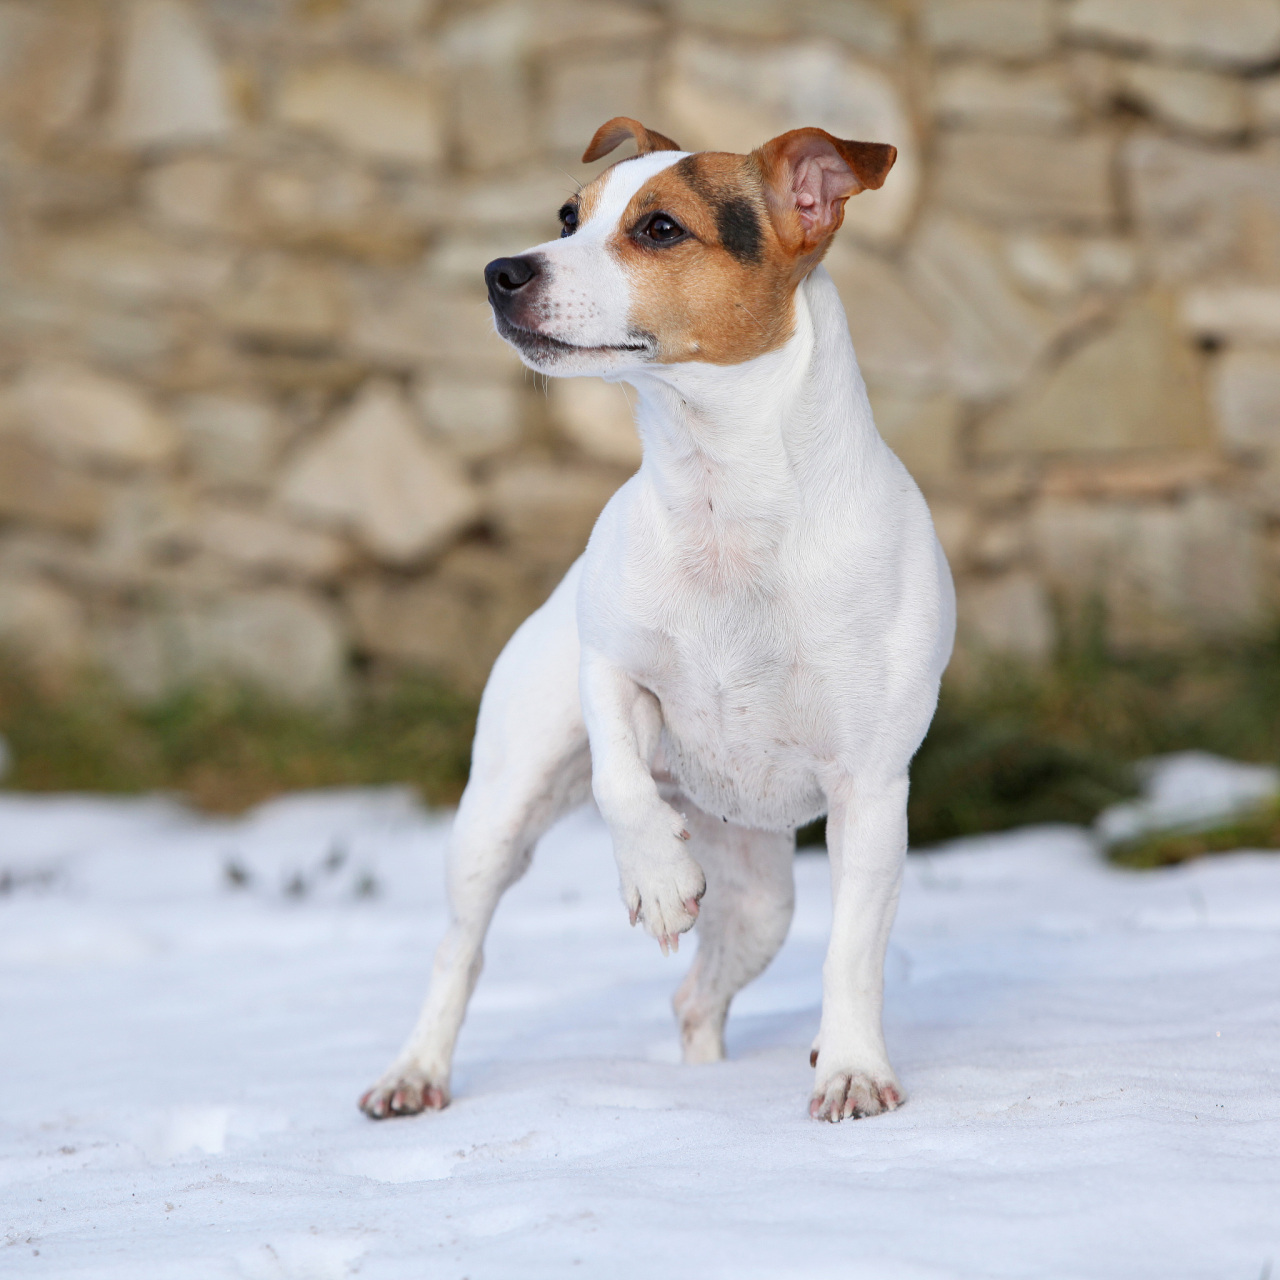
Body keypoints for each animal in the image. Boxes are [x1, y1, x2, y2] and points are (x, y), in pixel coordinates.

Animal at [358, 117, 952, 1121]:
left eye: (661, 229)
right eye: (568, 215)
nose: (501, 270)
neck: (720, 499)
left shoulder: (871, 792)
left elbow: (853, 953)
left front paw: (850, 1070)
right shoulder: (610, 670)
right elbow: (618, 779)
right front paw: (657, 878)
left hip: (759, 903)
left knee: (695, 998)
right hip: (497, 816)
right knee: (459, 951)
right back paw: (414, 1070)